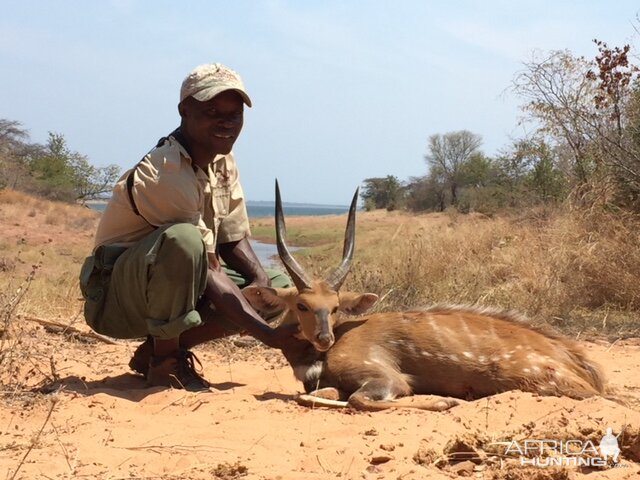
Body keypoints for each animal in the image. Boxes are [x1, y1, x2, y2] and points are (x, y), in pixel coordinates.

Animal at [242, 182, 608, 410]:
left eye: (334, 307)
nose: (324, 338)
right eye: (302, 305)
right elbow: (315, 396)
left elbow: (360, 400)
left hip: (536, 380)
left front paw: (447, 401)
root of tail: (579, 363)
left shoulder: (384, 377)